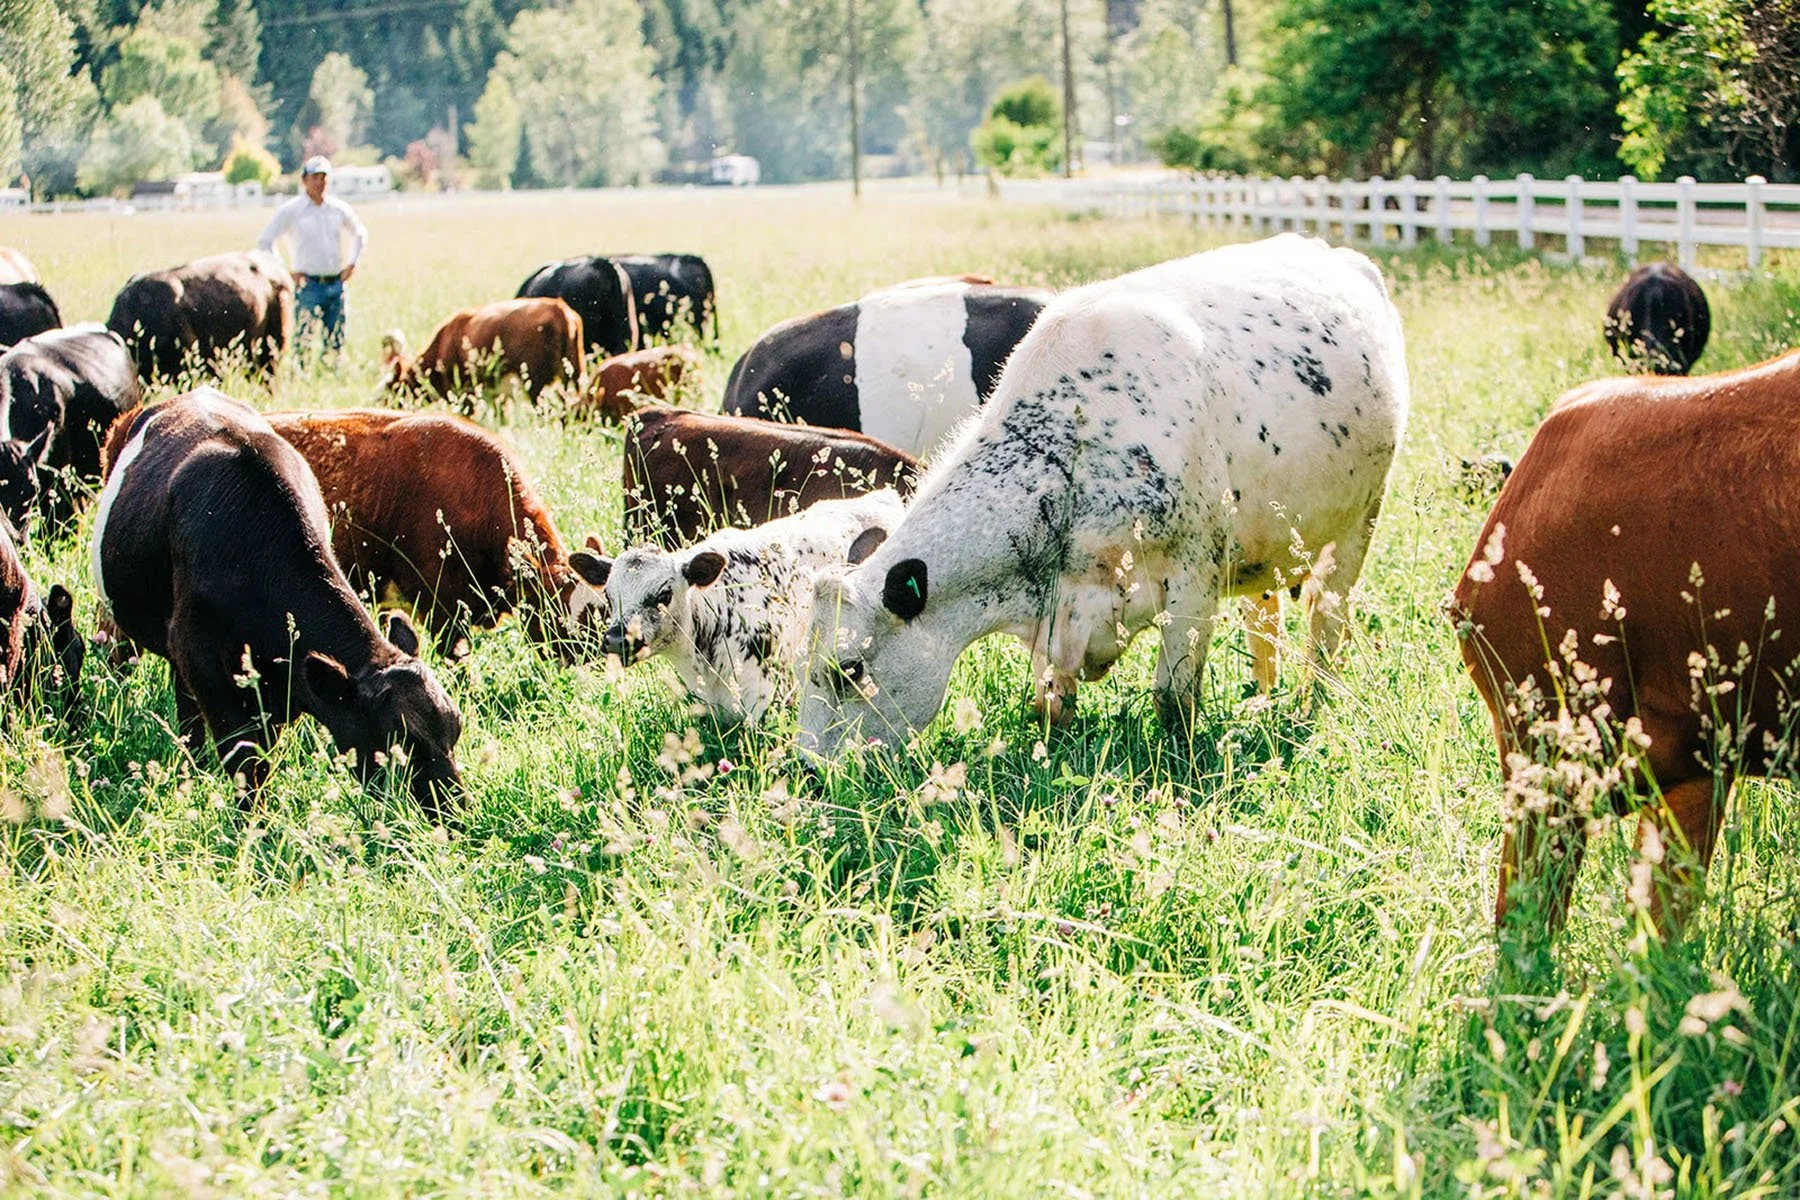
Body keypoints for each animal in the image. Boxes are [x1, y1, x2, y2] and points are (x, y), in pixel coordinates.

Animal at [93, 390, 463, 818]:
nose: (455, 812)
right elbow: (245, 758)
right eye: (400, 743)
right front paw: (253, 822)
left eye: (455, 728)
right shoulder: (200, 656)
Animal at [796, 234, 1410, 759]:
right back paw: (1264, 695)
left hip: (1360, 521)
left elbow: (1174, 699)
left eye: (848, 668)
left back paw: (1307, 706)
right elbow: (1051, 704)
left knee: (1327, 621)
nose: (807, 766)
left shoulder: (1195, 576)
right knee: (1265, 621)